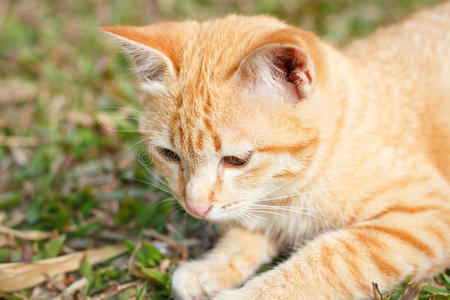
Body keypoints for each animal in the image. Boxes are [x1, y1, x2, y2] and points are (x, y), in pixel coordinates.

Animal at [100, 1, 448, 298]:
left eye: (236, 160)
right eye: (169, 155)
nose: (195, 209)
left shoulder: (428, 214)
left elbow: (330, 259)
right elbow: (243, 232)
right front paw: (211, 268)